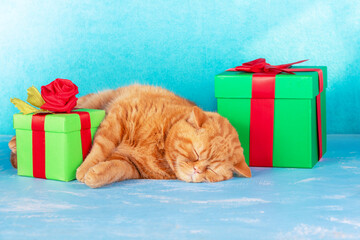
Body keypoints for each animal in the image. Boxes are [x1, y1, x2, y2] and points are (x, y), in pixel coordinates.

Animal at [7, 84, 250, 188]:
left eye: (211, 171)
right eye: (196, 153)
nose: (198, 170)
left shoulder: (132, 166)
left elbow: (114, 169)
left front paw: (95, 175)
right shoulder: (118, 117)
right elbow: (99, 149)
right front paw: (85, 169)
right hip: (89, 102)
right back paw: (14, 143)